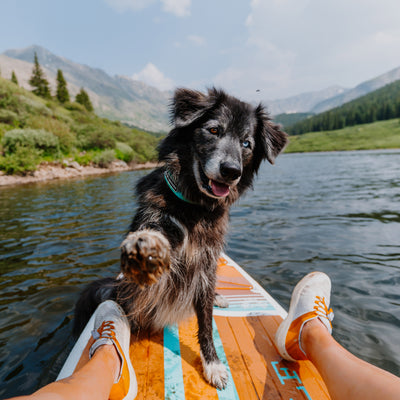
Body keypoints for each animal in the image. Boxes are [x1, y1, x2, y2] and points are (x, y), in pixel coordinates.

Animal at [74, 86, 288, 388]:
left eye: (246, 144)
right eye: (213, 130)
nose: (231, 171)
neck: (194, 206)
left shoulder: (206, 264)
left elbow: (206, 324)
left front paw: (212, 364)